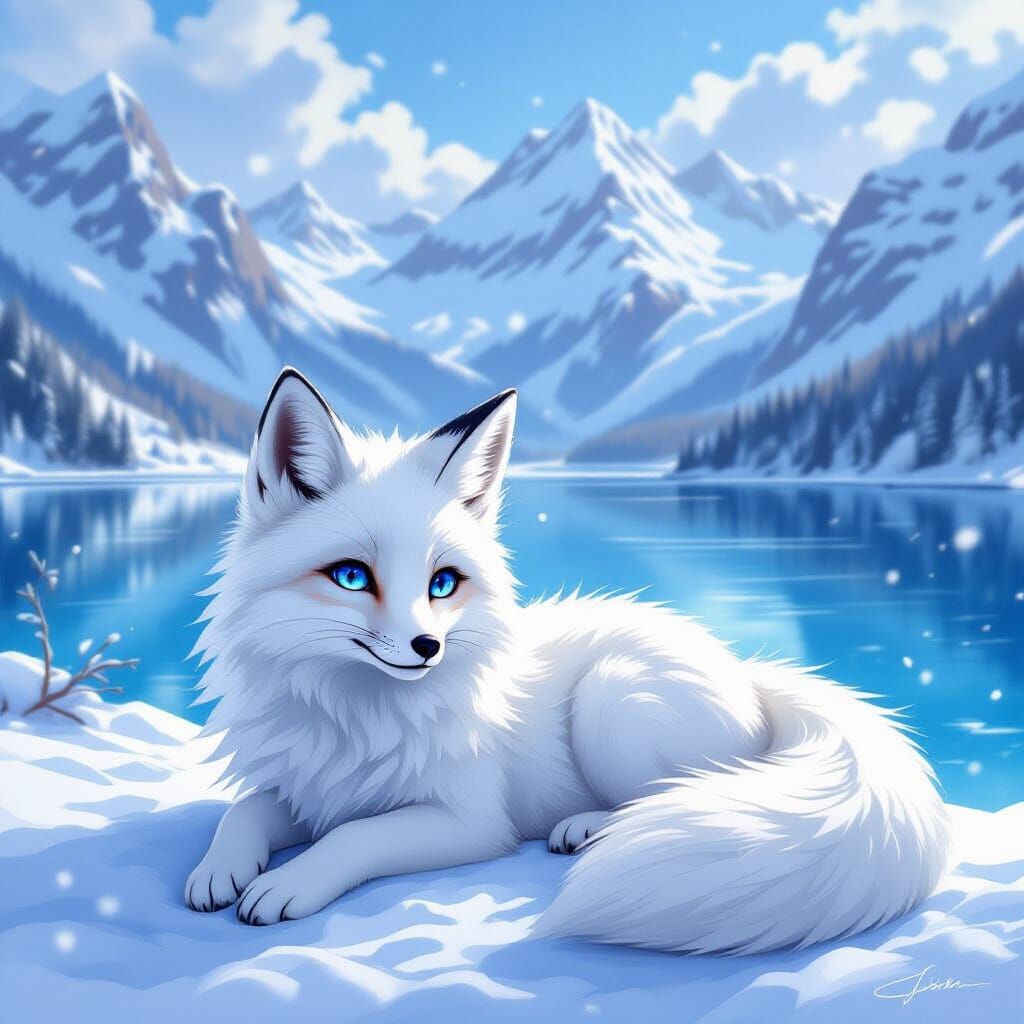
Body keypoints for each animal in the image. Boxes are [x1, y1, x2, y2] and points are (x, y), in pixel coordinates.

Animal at [186, 366, 952, 953]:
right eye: (351, 577)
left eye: (442, 584)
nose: (428, 647)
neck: (351, 716)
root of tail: (746, 673)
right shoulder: (308, 786)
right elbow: (246, 810)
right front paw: (219, 870)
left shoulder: (469, 821)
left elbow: (354, 839)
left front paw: (288, 883)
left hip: (612, 703)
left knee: (679, 792)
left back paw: (589, 828)